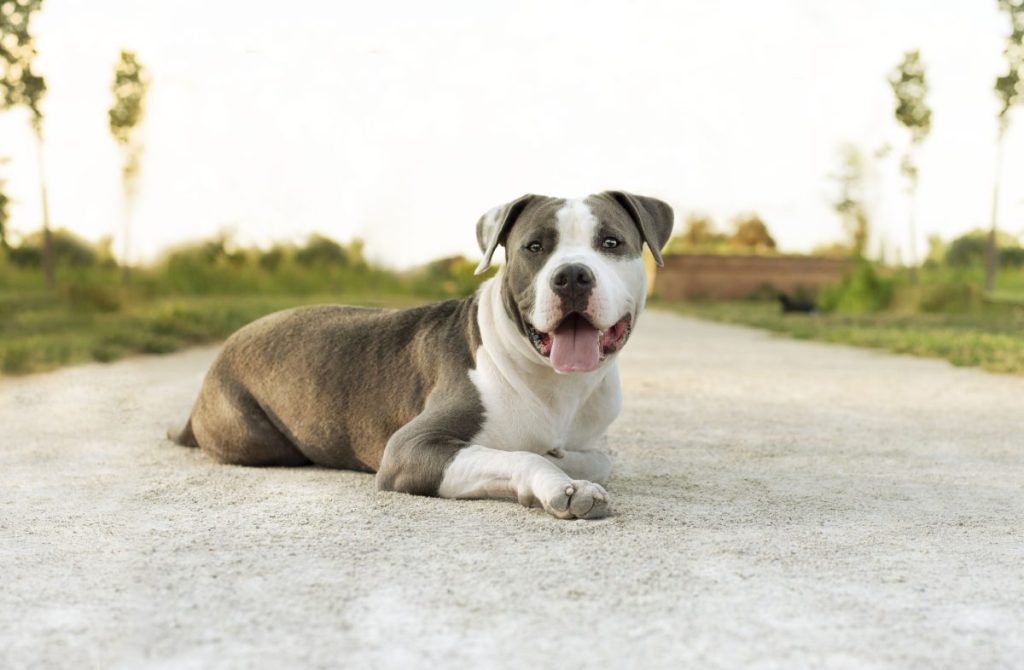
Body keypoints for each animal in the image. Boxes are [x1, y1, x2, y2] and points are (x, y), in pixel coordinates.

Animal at [169, 191, 671, 522]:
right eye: (534, 246)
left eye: (610, 242)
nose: (571, 276)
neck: (553, 380)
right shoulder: (411, 450)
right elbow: (522, 458)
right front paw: (560, 484)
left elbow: (597, 458)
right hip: (259, 437)